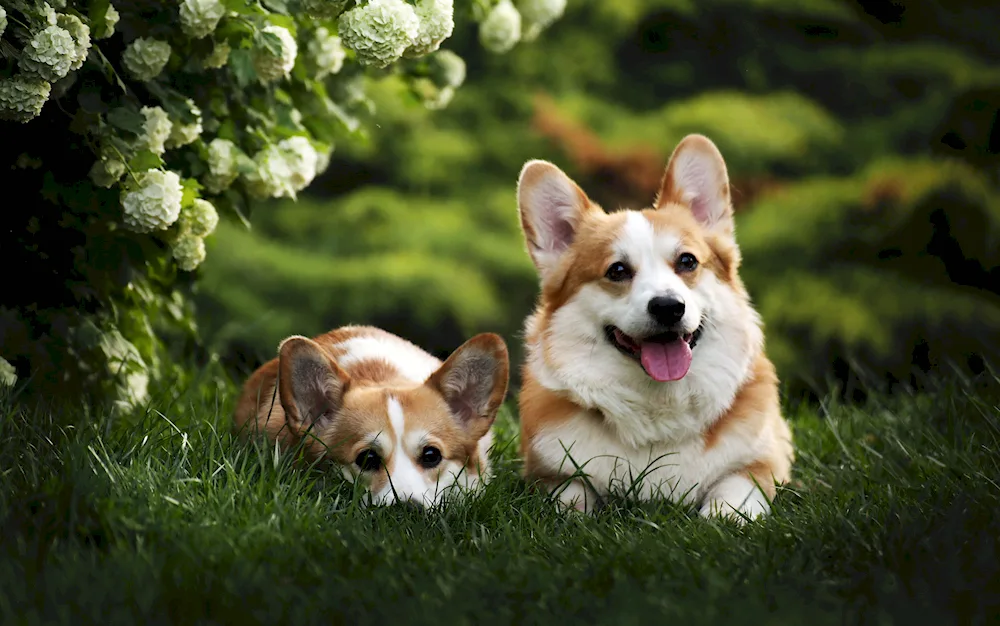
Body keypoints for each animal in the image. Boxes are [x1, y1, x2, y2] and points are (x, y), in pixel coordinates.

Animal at [516, 133, 788, 520]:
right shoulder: (548, 473)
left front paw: (721, 518)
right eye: (617, 270)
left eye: (687, 261)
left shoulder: (763, 463)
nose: (668, 307)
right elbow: (572, 495)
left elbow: (734, 493)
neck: (659, 408)